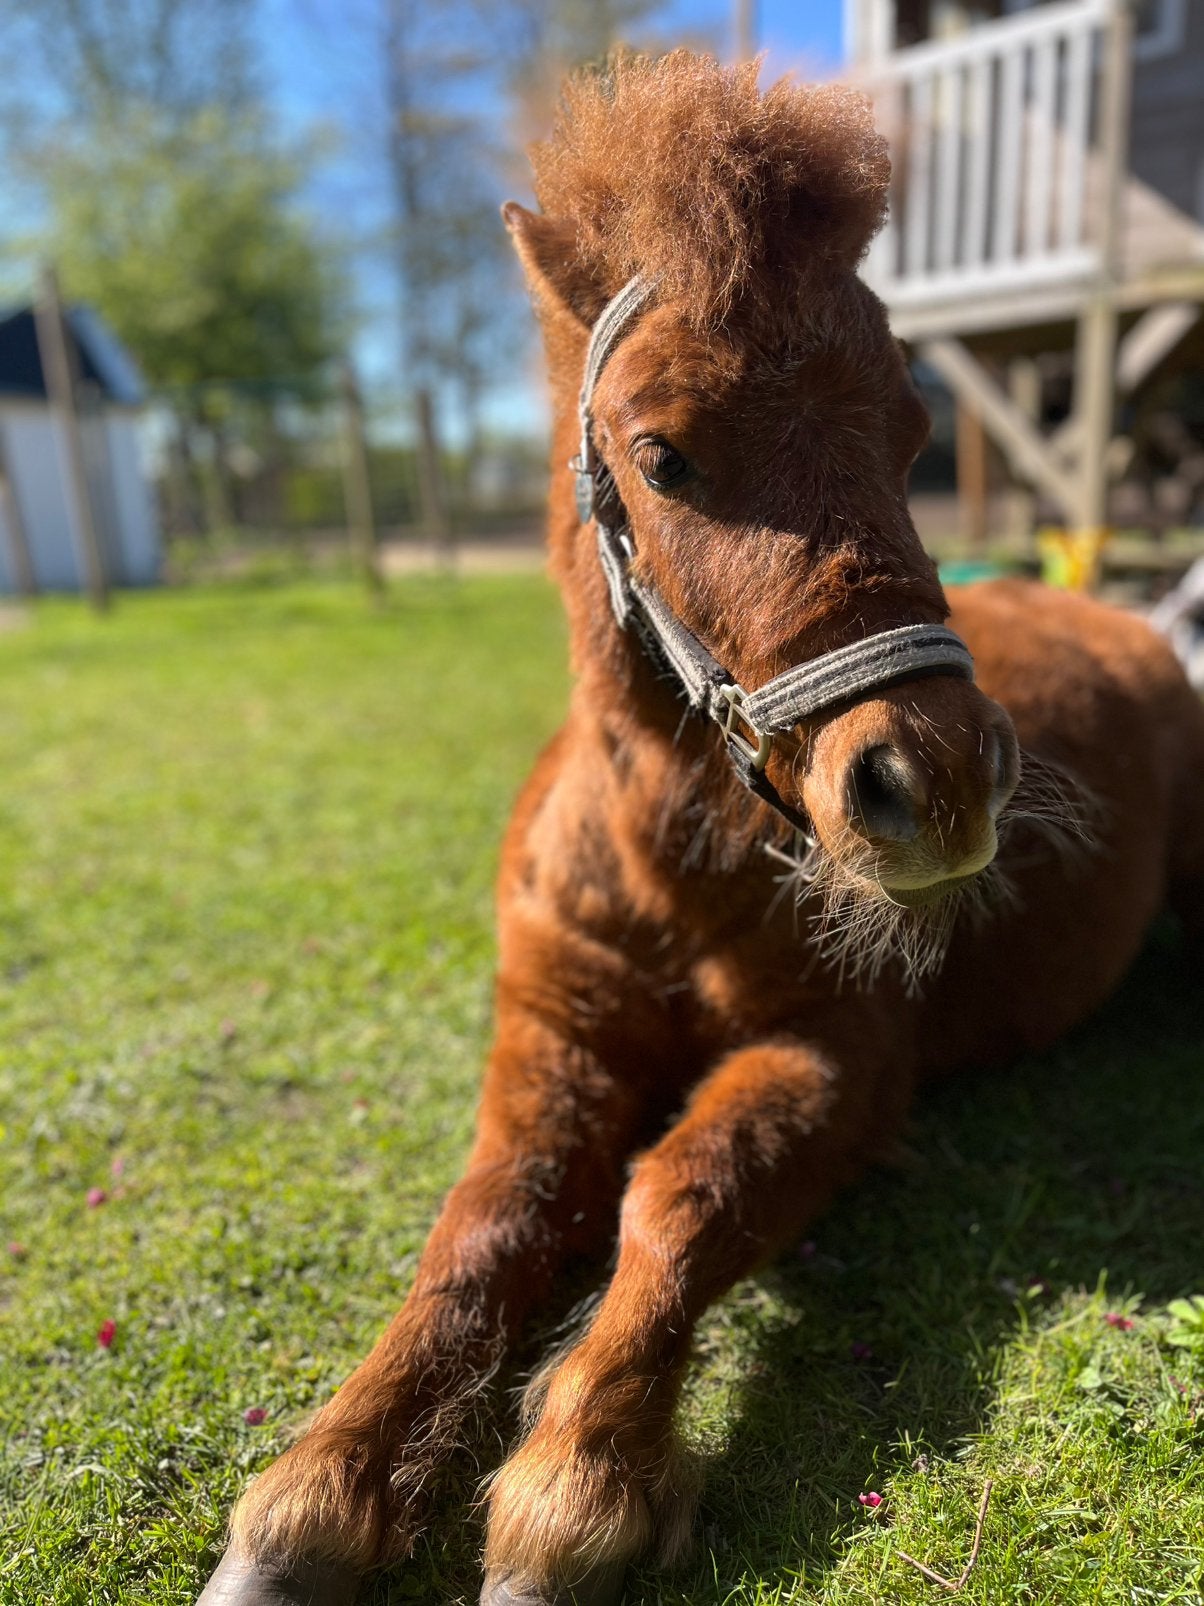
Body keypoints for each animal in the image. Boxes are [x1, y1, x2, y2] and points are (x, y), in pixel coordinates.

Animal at [198, 51, 1204, 1606]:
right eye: (662, 453)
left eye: (913, 437)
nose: (936, 783)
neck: (663, 874)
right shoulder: (553, 1036)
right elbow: (485, 1220)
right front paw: (315, 1492)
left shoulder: (839, 1058)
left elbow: (672, 1195)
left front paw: (572, 1487)